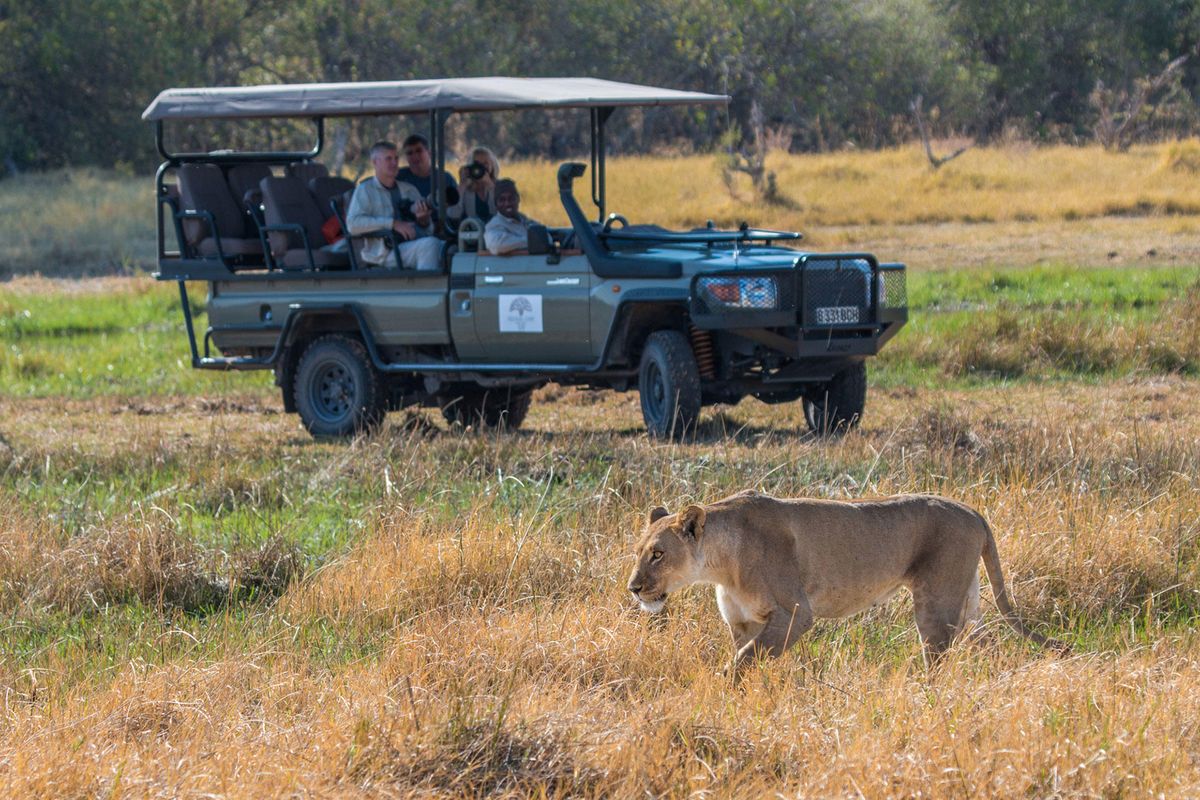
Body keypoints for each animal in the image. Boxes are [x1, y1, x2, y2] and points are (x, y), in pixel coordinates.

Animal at [627, 490, 1066, 673]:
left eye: (658, 554)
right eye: (638, 551)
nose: (633, 588)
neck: (720, 564)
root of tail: (973, 510)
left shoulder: (795, 612)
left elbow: (746, 659)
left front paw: (722, 687)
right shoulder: (743, 622)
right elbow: (750, 657)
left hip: (935, 602)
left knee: (939, 655)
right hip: (966, 600)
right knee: (986, 641)